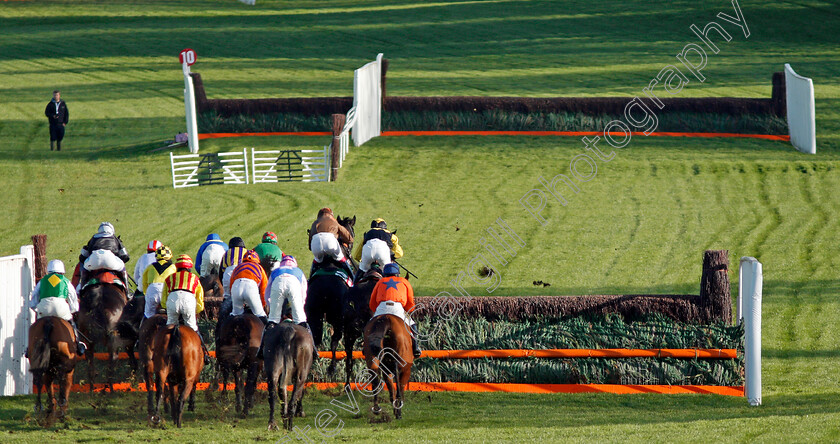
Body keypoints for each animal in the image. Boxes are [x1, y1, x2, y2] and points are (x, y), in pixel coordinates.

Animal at [306, 215, 354, 374]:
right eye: (351, 231)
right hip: (338, 316)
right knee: (334, 340)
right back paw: (332, 367)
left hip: (314, 314)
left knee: (315, 339)